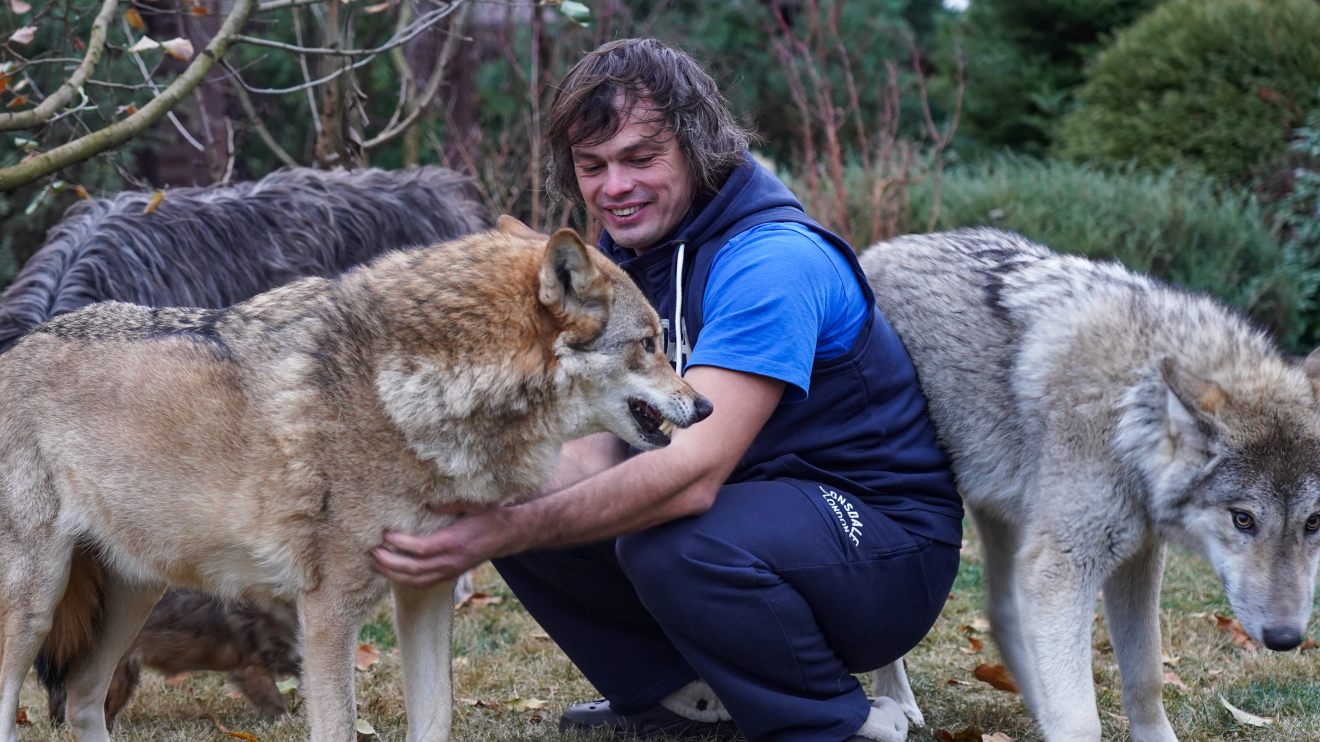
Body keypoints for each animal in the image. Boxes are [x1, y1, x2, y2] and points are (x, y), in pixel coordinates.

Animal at [0, 215, 712, 742]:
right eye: (649, 343)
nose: (705, 406)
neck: (407, 396)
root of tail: (16, 343)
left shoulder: (427, 592)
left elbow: (435, 720)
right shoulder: (328, 611)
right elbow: (339, 725)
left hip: (133, 596)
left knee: (83, 699)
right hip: (37, 602)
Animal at [860, 228, 1320, 734]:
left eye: (1314, 522)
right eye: (1243, 519)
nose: (1286, 638)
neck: (1130, 411)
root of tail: (872, 251)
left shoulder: (1137, 560)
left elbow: (1146, 679)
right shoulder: (1062, 567)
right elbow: (1081, 721)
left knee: (1002, 613)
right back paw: (898, 703)